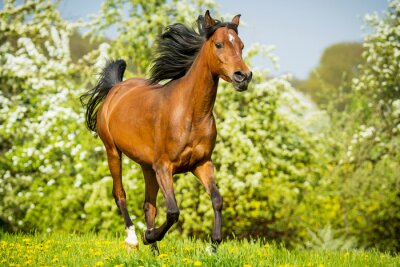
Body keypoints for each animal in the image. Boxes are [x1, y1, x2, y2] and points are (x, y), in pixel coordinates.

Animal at [79, 11, 252, 253]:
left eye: (241, 45)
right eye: (218, 44)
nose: (243, 76)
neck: (191, 114)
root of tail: (115, 89)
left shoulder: (202, 164)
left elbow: (217, 200)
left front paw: (213, 245)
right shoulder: (164, 167)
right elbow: (173, 211)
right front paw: (147, 236)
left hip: (146, 166)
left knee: (148, 205)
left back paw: (154, 252)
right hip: (113, 151)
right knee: (120, 194)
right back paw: (134, 239)